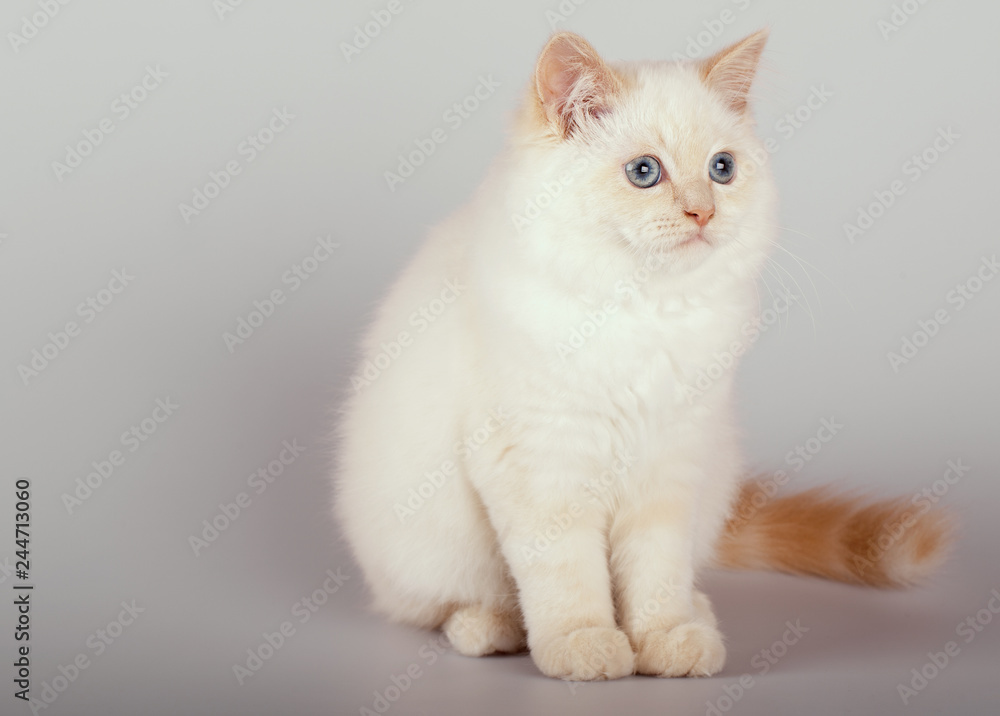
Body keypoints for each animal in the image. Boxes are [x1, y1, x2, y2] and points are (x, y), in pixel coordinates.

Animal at [332, 29, 948, 684]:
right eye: (644, 172)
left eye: (722, 169)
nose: (703, 212)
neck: (643, 311)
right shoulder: (541, 464)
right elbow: (566, 579)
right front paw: (585, 647)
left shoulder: (671, 465)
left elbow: (656, 575)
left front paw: (667, 641)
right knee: (438, 606)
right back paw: (489, 628)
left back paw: (698, 614)